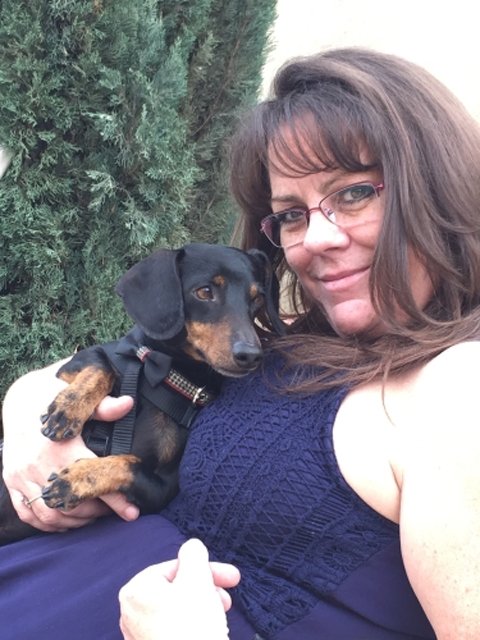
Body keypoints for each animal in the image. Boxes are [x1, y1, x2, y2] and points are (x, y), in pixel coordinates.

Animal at [0, 243, 285, 545]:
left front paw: (75, 479)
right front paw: (67, 411)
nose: (251, 355)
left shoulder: (161, 489)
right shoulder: (75, 363)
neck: (167, 376)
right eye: (205, 292)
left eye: (256, 299)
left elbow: (127, 464)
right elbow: (102, 366)